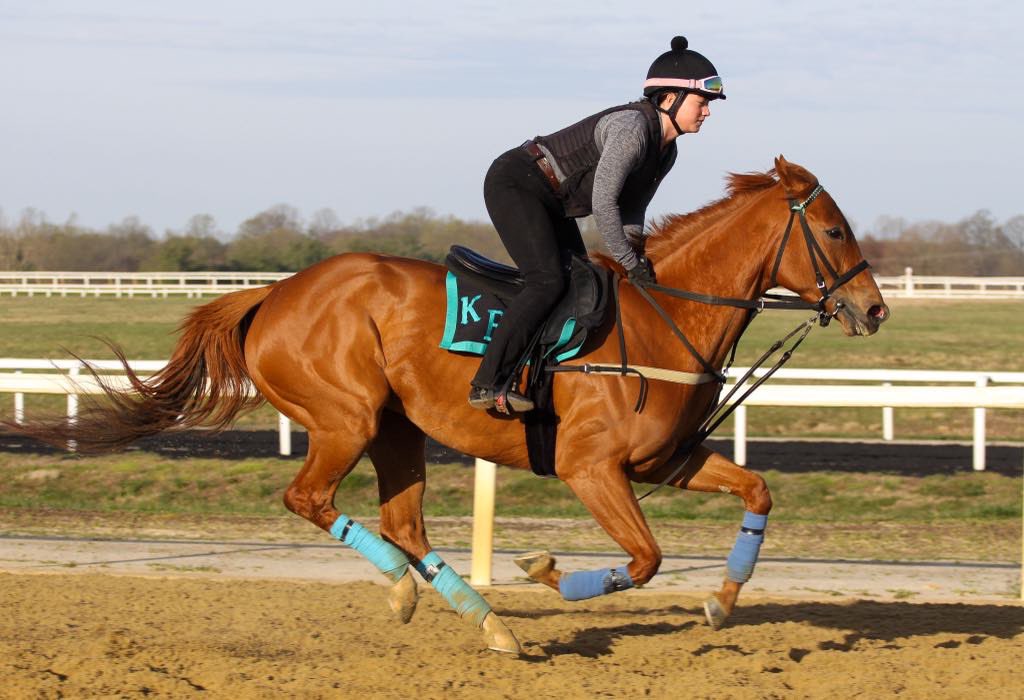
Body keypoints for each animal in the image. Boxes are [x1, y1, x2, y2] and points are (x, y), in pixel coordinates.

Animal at [9, 155, 888, 654]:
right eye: (834, 231)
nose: (875, 310)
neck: (663, 314)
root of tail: (273, 293)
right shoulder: (592, 467)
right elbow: (644, 559)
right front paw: (548, 572)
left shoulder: (663, 459)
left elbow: (757, 492)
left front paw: (722, 602)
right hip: (348, 418)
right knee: (309, 498)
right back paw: (426, 596)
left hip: (398, 429)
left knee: (403, 524)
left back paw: (474, 616)